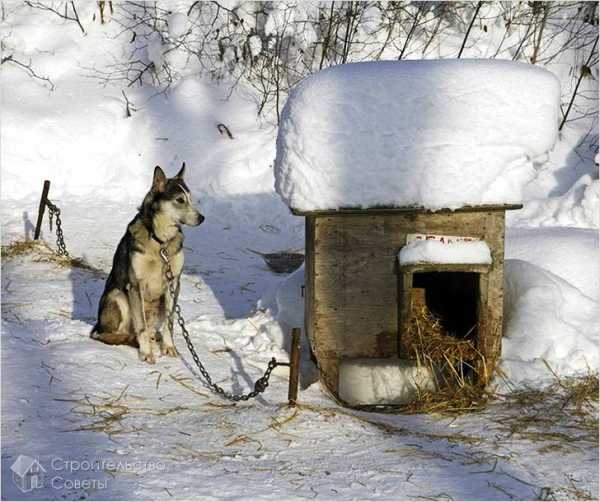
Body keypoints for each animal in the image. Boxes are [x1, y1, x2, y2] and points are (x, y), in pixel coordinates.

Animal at [91, 165, 204, 364]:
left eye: (191, 199)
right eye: (180, 200)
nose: (202, 218)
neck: (160, 242)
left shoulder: (173, 283)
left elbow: (170, 323)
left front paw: (169, 347)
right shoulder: (136, 284)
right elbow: (141, 328)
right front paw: (146, 353)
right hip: (118, 296)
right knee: (107, 334)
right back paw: (132, 339)